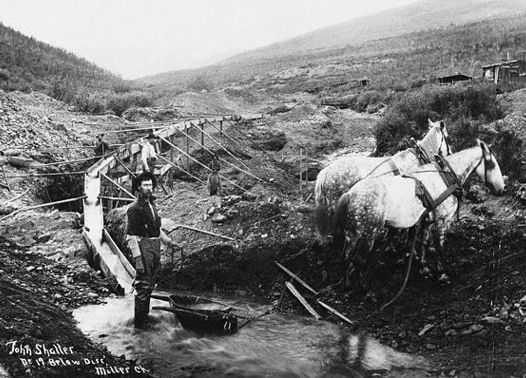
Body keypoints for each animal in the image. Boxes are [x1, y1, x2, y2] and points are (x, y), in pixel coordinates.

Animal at [336, 140, 506, 288]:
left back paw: (348, 283)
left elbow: (424, 242)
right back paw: (363, 287)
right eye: (492, 164)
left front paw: (423, 266)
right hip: (368, 235)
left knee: (347, 257)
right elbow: (439, 246)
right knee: (359, 260)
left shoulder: (427, 221)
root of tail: (350, 194)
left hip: (352, 234)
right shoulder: (442, 220)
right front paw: (442, 272)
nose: (501, 189)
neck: (446, 176)